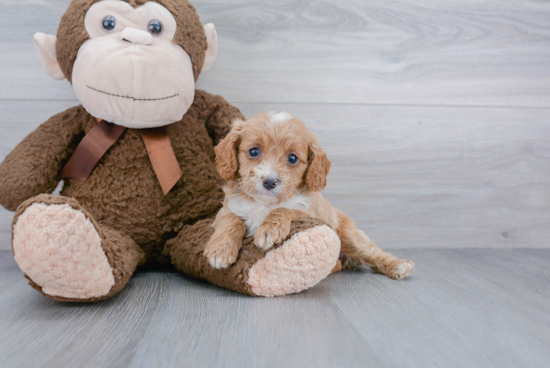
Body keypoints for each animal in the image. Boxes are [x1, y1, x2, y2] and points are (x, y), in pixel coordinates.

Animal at [205, 110, 416, 280]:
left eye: (292, 158)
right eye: (254, 151)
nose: (270, 182)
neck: (266, 204)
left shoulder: (310, 214)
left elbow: (285, 210)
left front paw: (269, 229)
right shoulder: (228, 208)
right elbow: (231, 221)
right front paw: (220, 251)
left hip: (351, 237)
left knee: (373, 253)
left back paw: (399, 265)